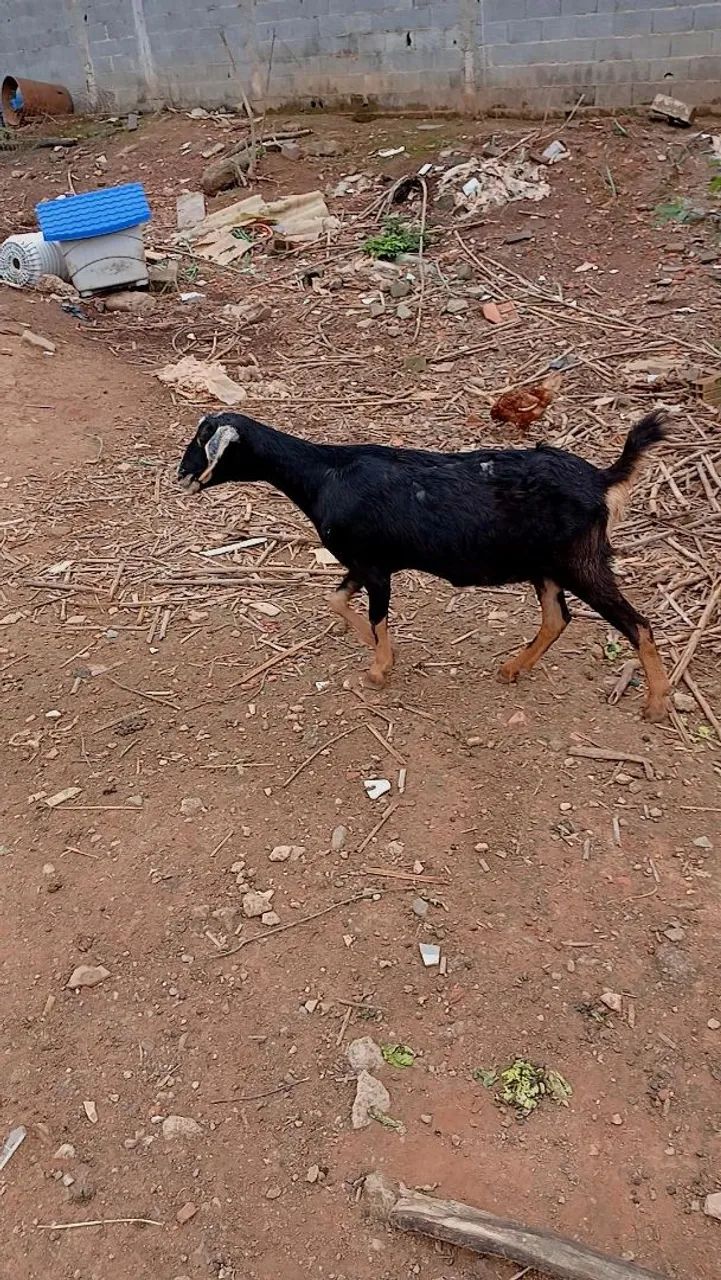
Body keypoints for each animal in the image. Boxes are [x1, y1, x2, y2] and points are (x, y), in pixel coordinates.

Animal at [178, 409, 671, 722]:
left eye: (204, 442)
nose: (181, 475)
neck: (325, 474)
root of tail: (602, 479)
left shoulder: (375, 566)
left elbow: (378, 615)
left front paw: (379, 669)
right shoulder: (360, 563)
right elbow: (337, 601)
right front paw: (378, 650)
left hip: (579, 560)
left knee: (637, 624)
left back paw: (655, 705)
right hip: (546, 566)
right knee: (556, 618)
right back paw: (512, 669)